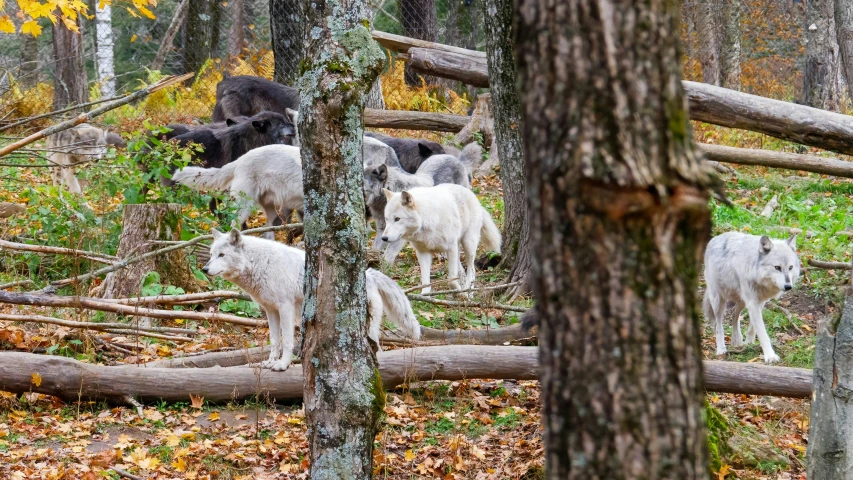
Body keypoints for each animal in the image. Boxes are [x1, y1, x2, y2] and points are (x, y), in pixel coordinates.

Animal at [203, 229, 422, 372]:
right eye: (211, 254)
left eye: (222, 255)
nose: (204, 269)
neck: (259, 263)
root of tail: (369, 274)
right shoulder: (270, 310)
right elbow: (274, 340)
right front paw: (270, 362)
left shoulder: (285, 308)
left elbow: (287, 341)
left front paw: (282, 365)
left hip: (366, 328)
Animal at [700, 232, 800, 364]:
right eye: (777, 267)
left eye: (790, 267)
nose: (788, 287)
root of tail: (715, 238)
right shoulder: (752, 303)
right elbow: (762, 332)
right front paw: (770, 356)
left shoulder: (760, 302)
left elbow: (753, 327)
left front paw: (749, 343)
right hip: (718, 301)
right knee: (718, 325)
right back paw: (721, 349)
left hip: (742, 301)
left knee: (734, 315)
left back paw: (737, 340)